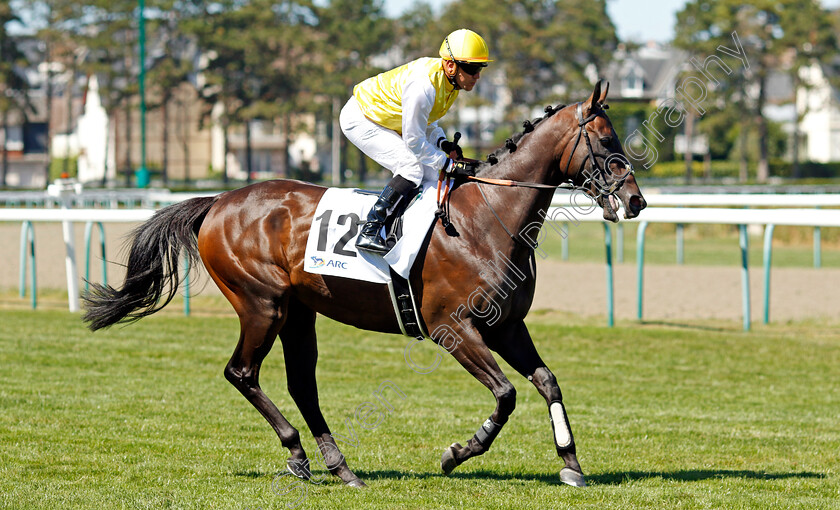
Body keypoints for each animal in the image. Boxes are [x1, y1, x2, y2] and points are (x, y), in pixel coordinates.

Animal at [85, 79, 648, 490]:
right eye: (605, 140)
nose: (636, 200)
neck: (488, 218)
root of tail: (219, 201)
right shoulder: (452, 327)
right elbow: (507, 393)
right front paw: (457, 453)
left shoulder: (507, 325)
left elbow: (547, 381)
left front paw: (571, 463)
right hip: (261, 304)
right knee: (242, 373)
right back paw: (298, 452)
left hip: (299, 312)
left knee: (302, 384)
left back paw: (337, 465)